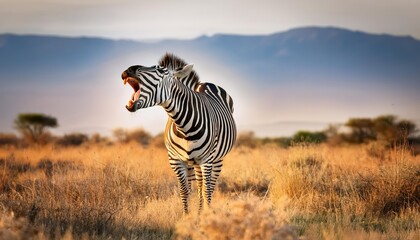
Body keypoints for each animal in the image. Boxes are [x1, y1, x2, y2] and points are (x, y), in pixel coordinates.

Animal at [121, 53, 236, 214]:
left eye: (160, 70)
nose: (129, 70)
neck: (184, 127)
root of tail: (206, 83)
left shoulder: (207, 159)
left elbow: (206, 190)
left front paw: (207, 216)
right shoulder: (175, 160)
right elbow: (184, 190)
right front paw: (187, 216)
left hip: (217, 158)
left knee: (209, 186)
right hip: (193, 162)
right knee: (199, 185)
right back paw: (199, 212)